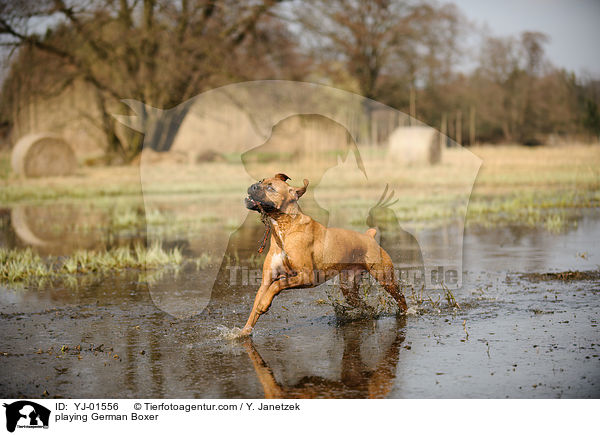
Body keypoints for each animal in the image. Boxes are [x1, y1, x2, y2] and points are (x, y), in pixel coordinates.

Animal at [240, 175, 408, 338]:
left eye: (271, 188)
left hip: (386, 279)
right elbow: (255, 309)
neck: (285, 227)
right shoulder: (266, 281)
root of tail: (369, 236)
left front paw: (264, 305)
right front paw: (243, 332)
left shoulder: (306, 277)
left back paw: (405, 313)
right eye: (261, 181)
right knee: (365, 305)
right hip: (349, 290)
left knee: (401, 298)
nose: (253, 186)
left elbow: (277, 285)